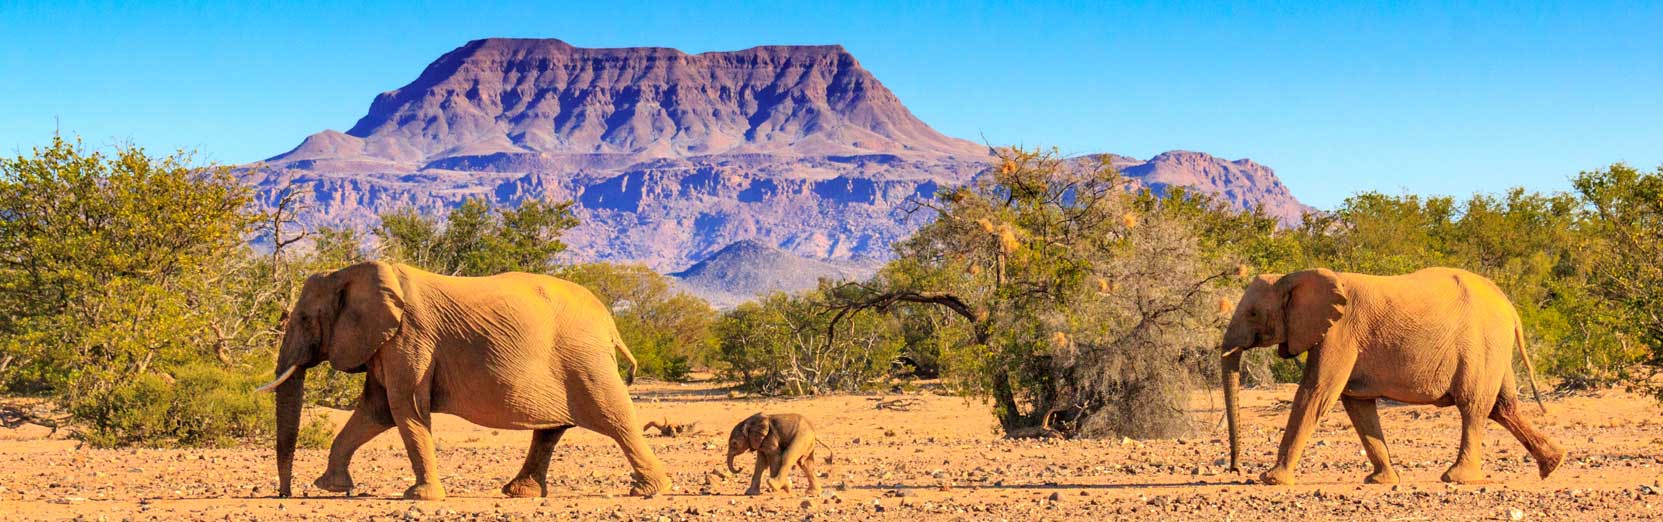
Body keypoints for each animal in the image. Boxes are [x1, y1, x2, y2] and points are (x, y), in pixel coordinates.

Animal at [254, 262, 668, 498]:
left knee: (615, 417)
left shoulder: (410, 338)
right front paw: (332, 487)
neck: (349, 273)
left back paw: (649, 490)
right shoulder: (386, 343)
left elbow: (405, 408)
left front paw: (419, 497)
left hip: (585, 360)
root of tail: (609, 320)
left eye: (304, 319)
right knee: (551, 429)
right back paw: (519, 492)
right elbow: (376, 411)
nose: (285, 495)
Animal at [1223, 269, 1556, 485]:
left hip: (1482, 343)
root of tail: (1510, 307)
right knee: (1503, 407)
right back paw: (1553, 464)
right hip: (1494, 347)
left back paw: (1458, 478)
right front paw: (1381, 480)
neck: (1294, 276)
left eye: (1253, 313)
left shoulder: (1339, 331)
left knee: (1473, 407)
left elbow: (1316, 393)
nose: (1235, 470)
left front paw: (1271, 479)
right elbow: (1357, 405)